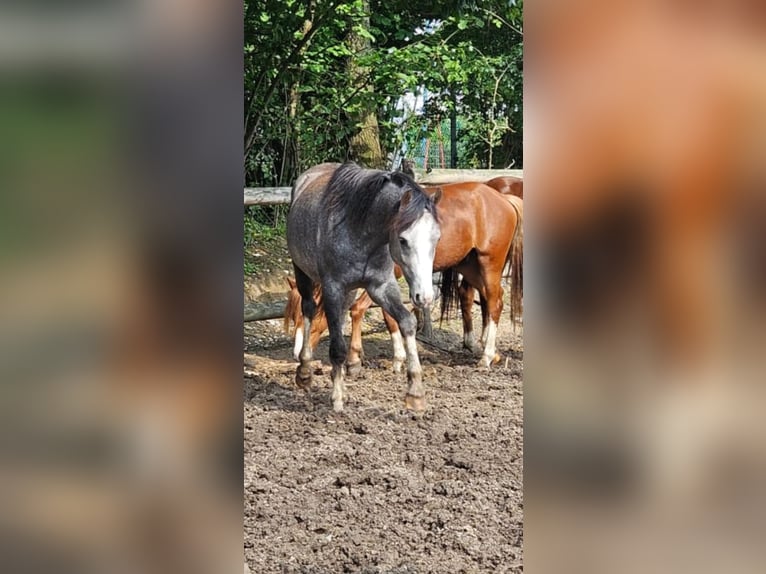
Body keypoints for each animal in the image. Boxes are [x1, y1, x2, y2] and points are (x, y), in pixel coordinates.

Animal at [284, 182, 524, 368]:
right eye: (294, 316)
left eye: (315, 313)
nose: (296, 354)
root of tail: (503, 198)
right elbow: (388, 317)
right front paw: (399, 358)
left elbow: (359, 310)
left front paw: (355, 357)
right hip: (469, 266)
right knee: (486, 298)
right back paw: (487, 350)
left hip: (489, 264)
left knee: (495, 302)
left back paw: (486, 357)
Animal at [286, 163, 444, 414]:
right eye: (403, 240)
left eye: (436, 238)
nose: (425, 296)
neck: (360, 231)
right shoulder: (333, 287)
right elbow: (337, 347)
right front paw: (337, 398)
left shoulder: (380, 287)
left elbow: (407, 322)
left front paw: (415, 393)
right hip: (302, 272)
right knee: (309, 309)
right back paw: (305, 373)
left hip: (349, 291)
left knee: (341, 317)